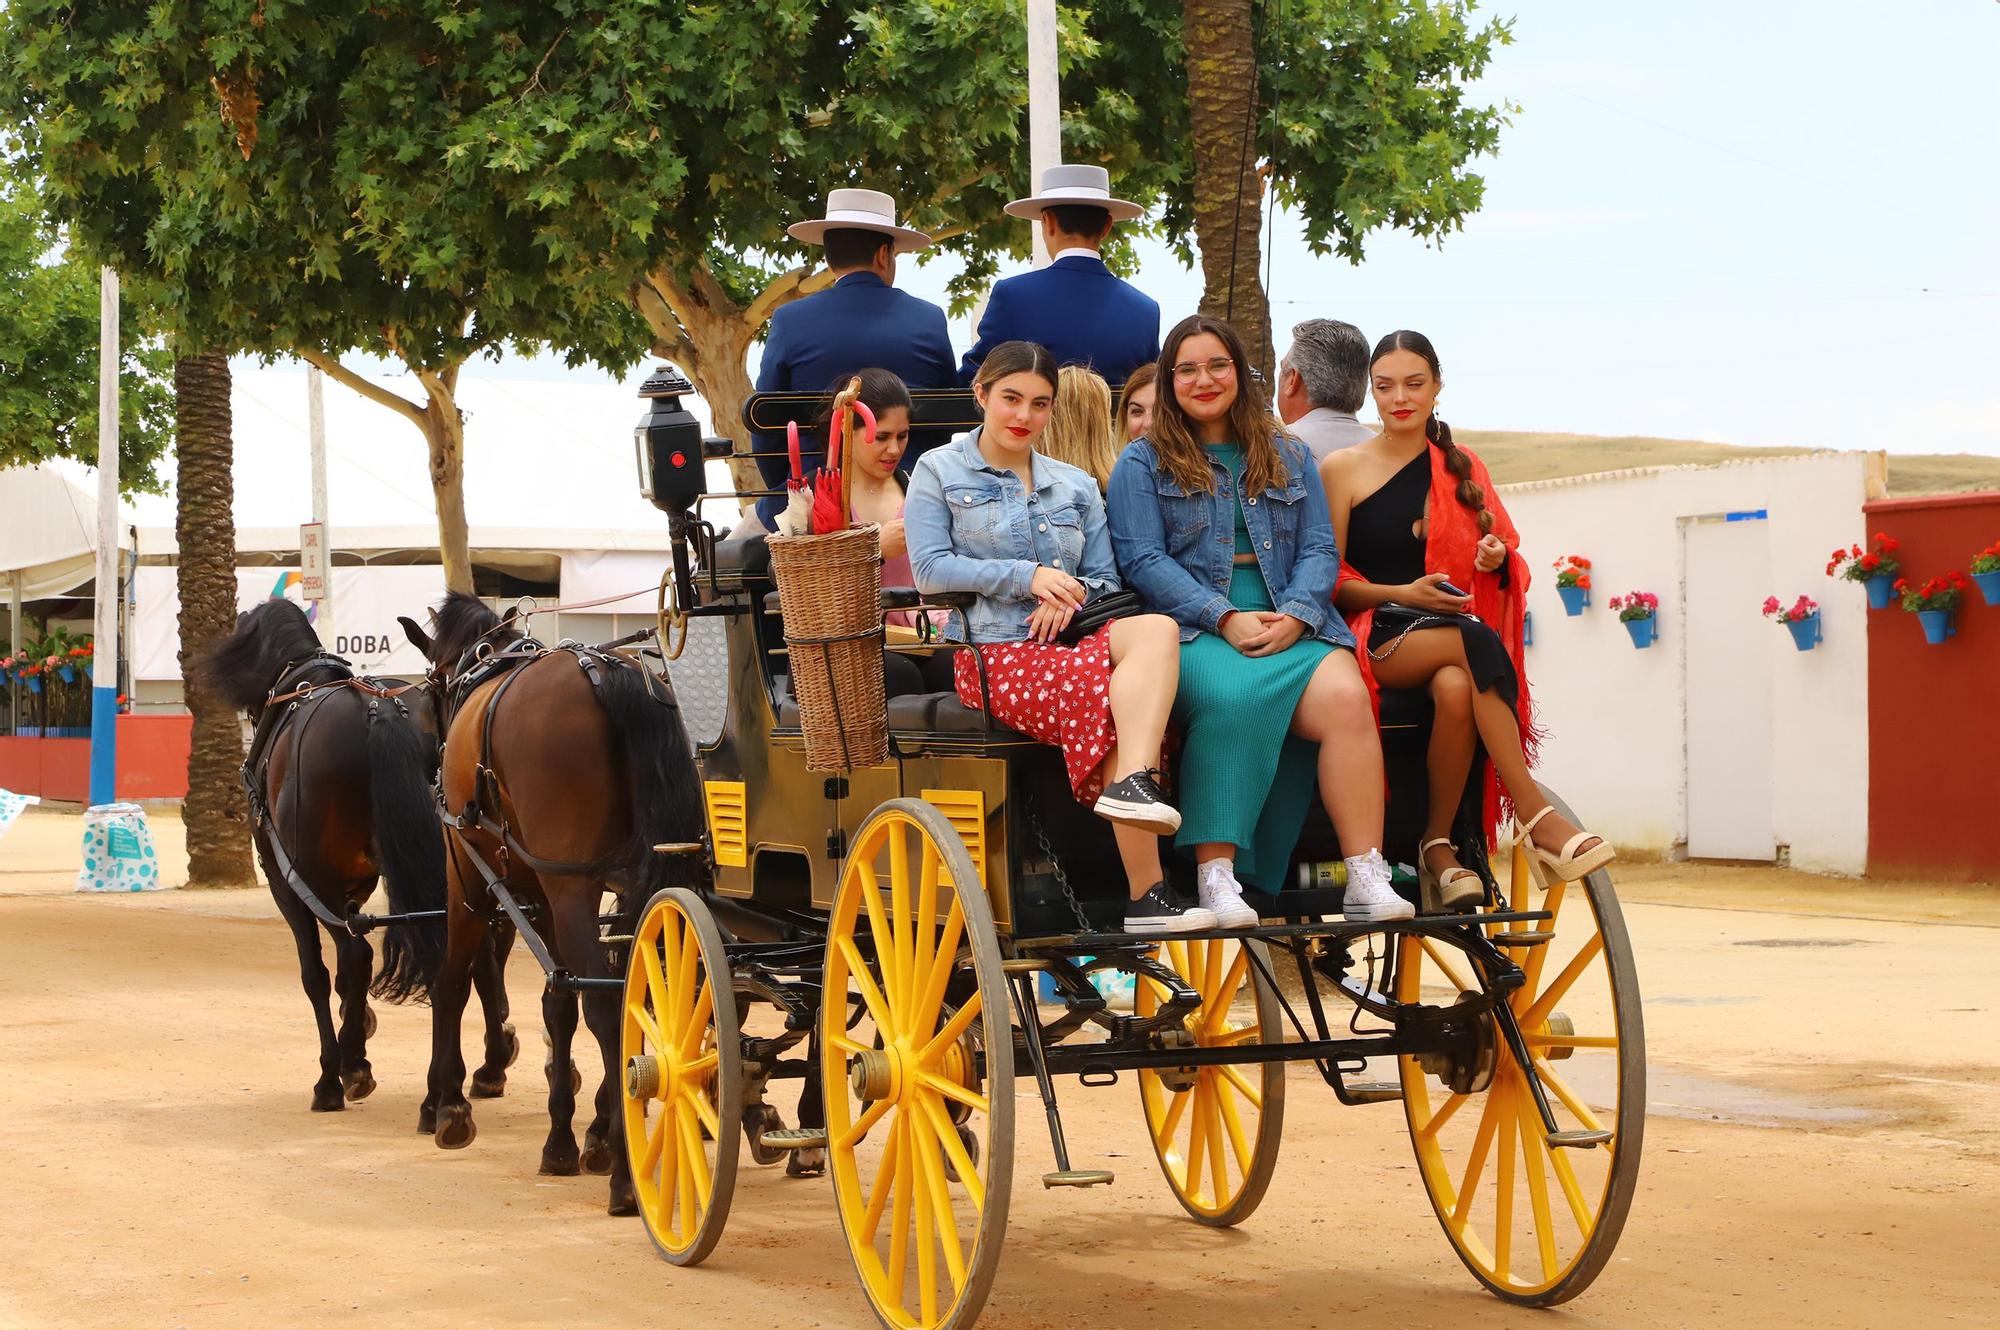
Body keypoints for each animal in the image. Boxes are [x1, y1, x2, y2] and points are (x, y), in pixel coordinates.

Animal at [199, 600, 516, 1112]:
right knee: (469, 952)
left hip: (314, 876)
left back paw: (338, 1075)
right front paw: (360, 1031)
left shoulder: (290, 887)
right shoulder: (360, 886)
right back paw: (475, 1073)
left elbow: (319, 974)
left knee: (357, 954)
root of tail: (377, 710)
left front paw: (346, 1060)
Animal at [402, 588, 708, 1200]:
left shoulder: (467, 876)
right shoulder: (543, 899)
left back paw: (625, 1177)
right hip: (644, 879)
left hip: (567, 887)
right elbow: (558, 1004)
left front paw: (446, 1104)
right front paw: (572, 1133)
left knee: (609, 1004)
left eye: (432, 686)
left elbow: (452, 979)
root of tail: (605, 671)